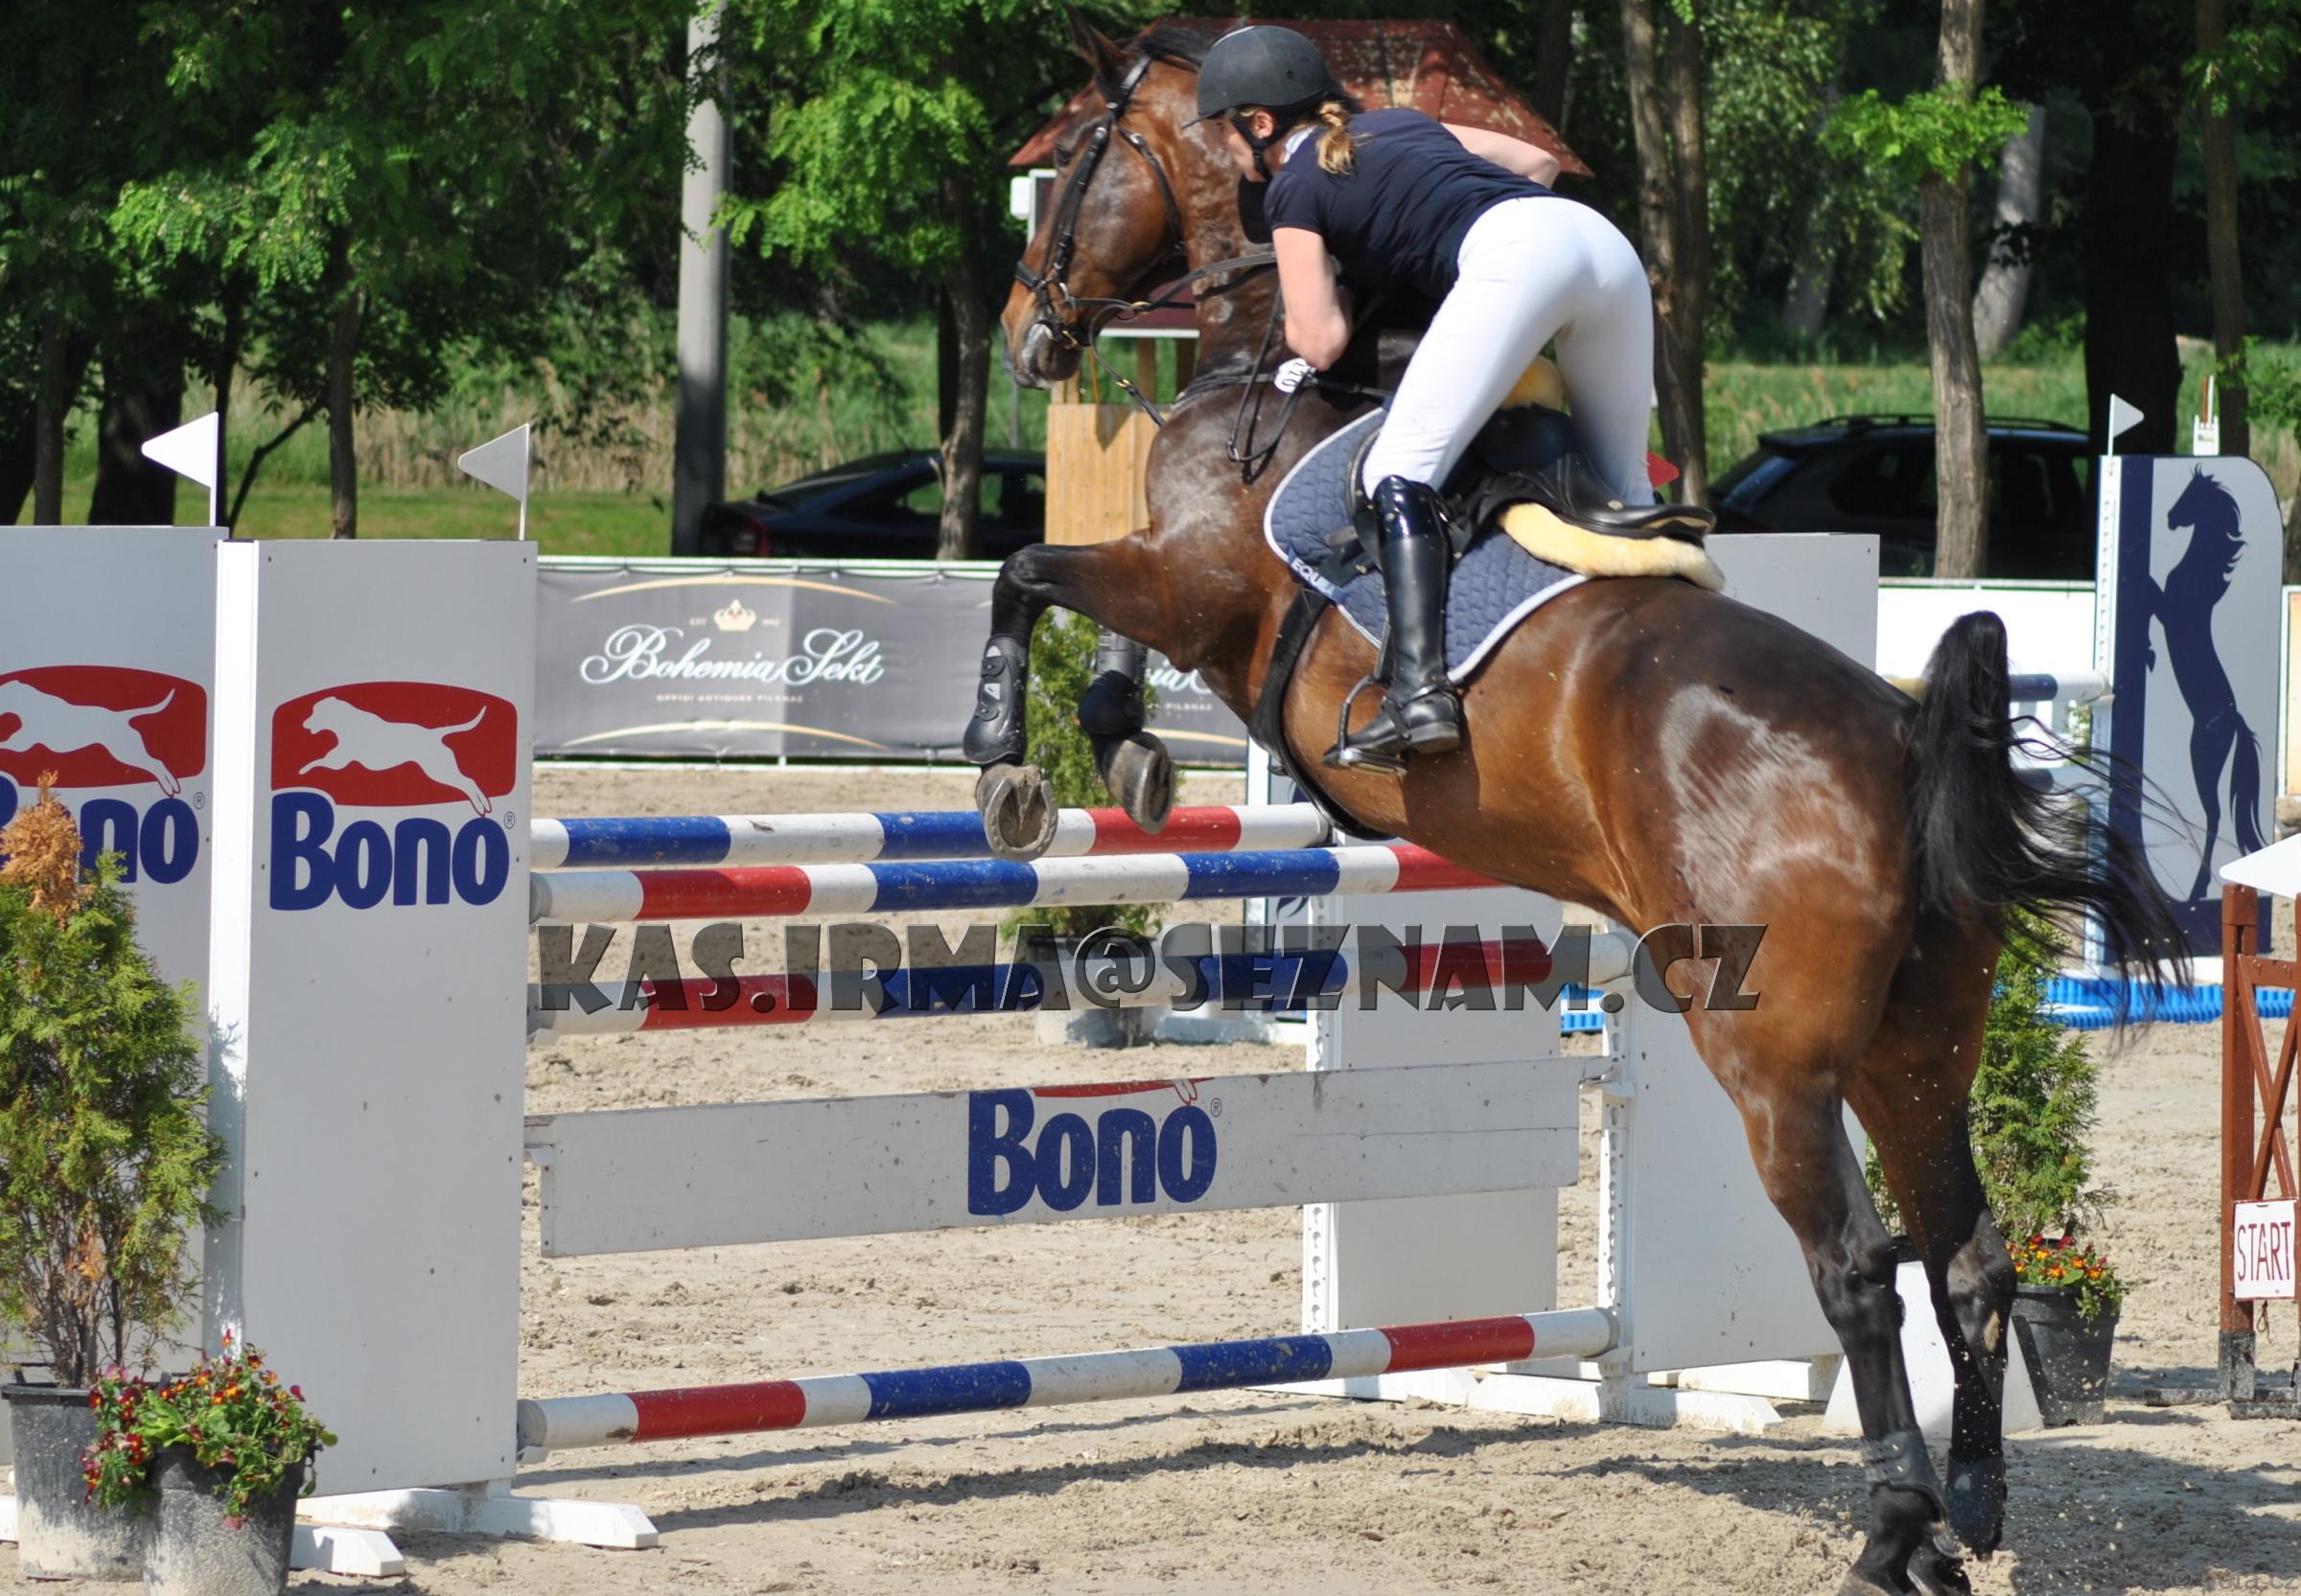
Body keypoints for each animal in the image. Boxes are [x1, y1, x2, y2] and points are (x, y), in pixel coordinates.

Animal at [966, 18, 2187, 1594]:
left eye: (1068, 164)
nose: (1025, 331)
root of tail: (1902, 736)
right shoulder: (1183, 594)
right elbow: (1105, 633)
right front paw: (1126, 751)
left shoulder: (1195, 582)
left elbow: (1033, 572)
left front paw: (1010, 753)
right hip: (1917, 1037)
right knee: (1965, 1253)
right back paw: (1973, 1499)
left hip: (1769, 1054)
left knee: (1860, 1268)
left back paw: (1896, 1531)